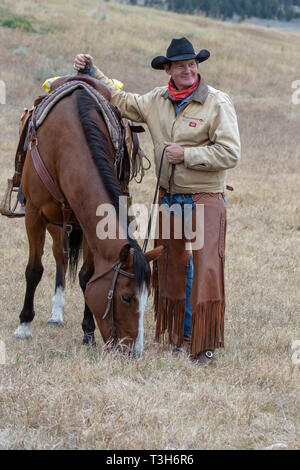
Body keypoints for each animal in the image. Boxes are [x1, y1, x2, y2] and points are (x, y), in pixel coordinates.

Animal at [13, 86, 164, 354]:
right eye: (126, 297)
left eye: (147, 297)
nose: (133, 351)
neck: (64, 143)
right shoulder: (34, 214)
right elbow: (34, 270)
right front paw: (23, 326)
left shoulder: (88, 224)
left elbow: (87, 275)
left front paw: (88, 332)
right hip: (53, 222)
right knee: (59, 255)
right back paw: (54, 315)